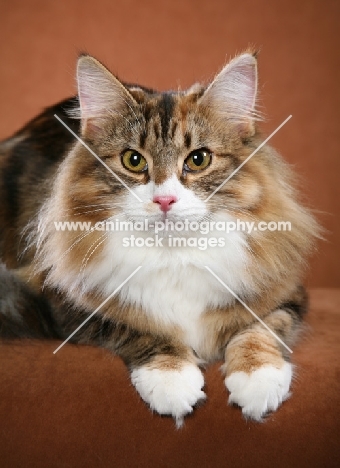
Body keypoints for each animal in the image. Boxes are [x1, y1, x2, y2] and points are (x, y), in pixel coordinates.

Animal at [0, 49, 318, 426]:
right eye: (133, 160)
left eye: (199, 159)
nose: (165, 200)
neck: (174, 254)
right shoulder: (66, 305)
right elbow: (144, 331)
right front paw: (173, 380)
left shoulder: (285, 294)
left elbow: (259, 330)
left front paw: (257, 381)